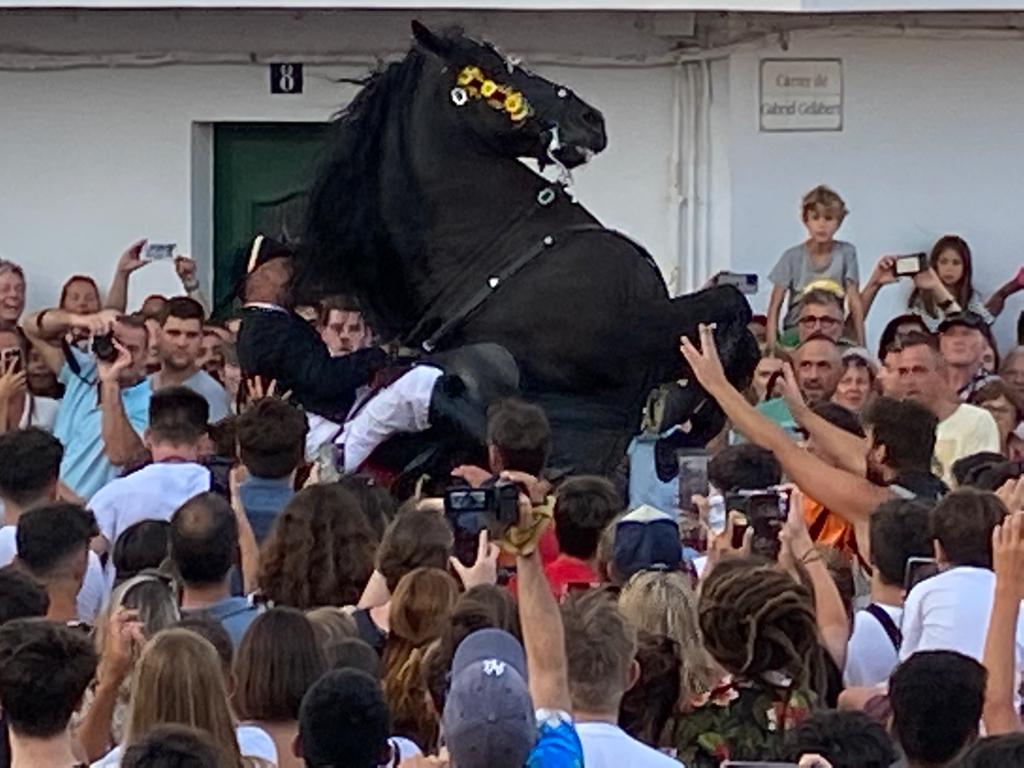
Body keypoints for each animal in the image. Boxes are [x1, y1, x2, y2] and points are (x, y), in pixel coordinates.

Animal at [292, 22, 757, 481]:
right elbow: (733, 304)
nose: (591, 119)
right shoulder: (638, 333)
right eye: (500, 67)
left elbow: (741, 336)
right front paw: (682, 427)